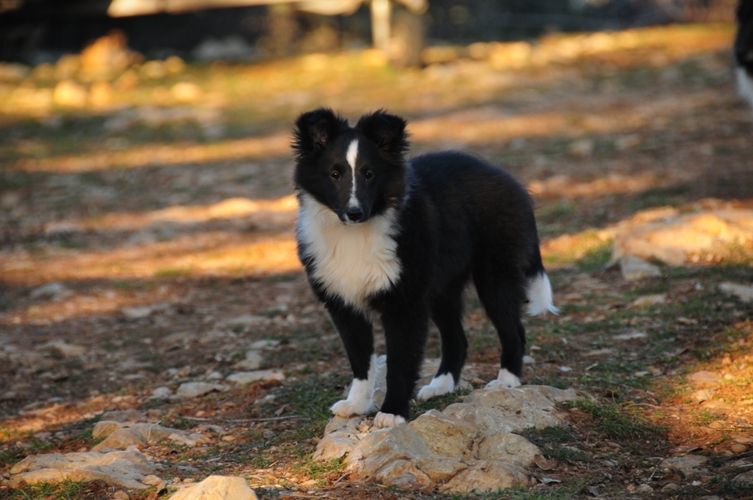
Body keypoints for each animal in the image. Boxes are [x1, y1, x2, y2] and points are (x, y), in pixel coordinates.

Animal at [290, 110, 556, 430]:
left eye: (369, 173)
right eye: (334, 173)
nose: (355, 213)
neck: (355, 235)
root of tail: (511, 181)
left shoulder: (404, 303)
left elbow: (399, 362)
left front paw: (392, 413)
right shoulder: (343, 303)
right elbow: (360, 359)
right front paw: (356, 405)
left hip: (495, 276)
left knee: (513, 330)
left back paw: (507, 381)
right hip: (442, 288)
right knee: (457, 338)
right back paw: (441, 385)